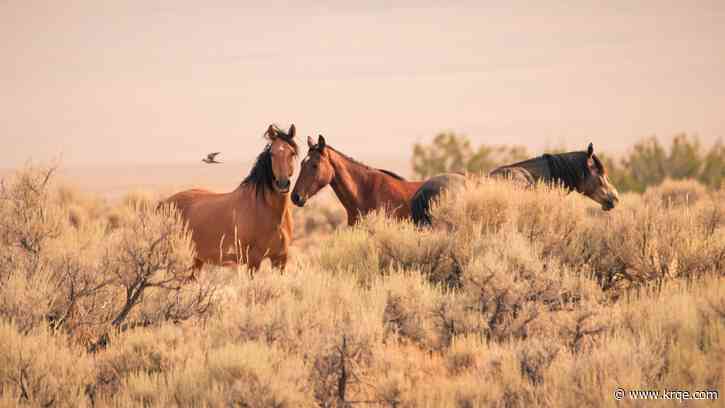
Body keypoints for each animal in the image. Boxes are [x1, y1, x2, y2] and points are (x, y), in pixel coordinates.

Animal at [159, 124, 298, 272]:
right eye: (272, 154)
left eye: (292, 153)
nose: (282, 184)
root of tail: (164, 202)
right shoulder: (254, 260)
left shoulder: (280, 259)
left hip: (197, 260)